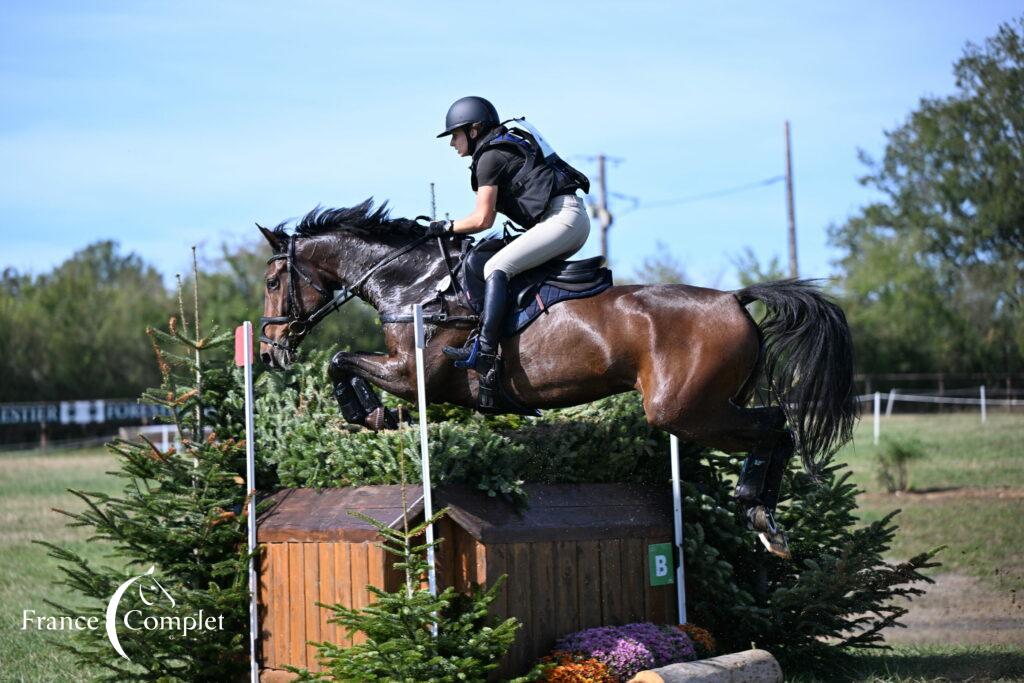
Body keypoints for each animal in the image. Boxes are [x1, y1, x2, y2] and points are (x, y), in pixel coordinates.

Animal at [256, 197, 856, 557]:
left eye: (271, 281)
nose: (269, 352)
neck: (415, 285)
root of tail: (735, 297)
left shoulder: (412, 374)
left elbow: (341, 361)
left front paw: (370, 413)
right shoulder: (409, 375)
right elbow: (345, 362)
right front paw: (377, 415)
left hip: (686, 411)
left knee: (775, 426)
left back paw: (760, 514)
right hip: (707, 406)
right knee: (776, 424)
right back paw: (766, 519)